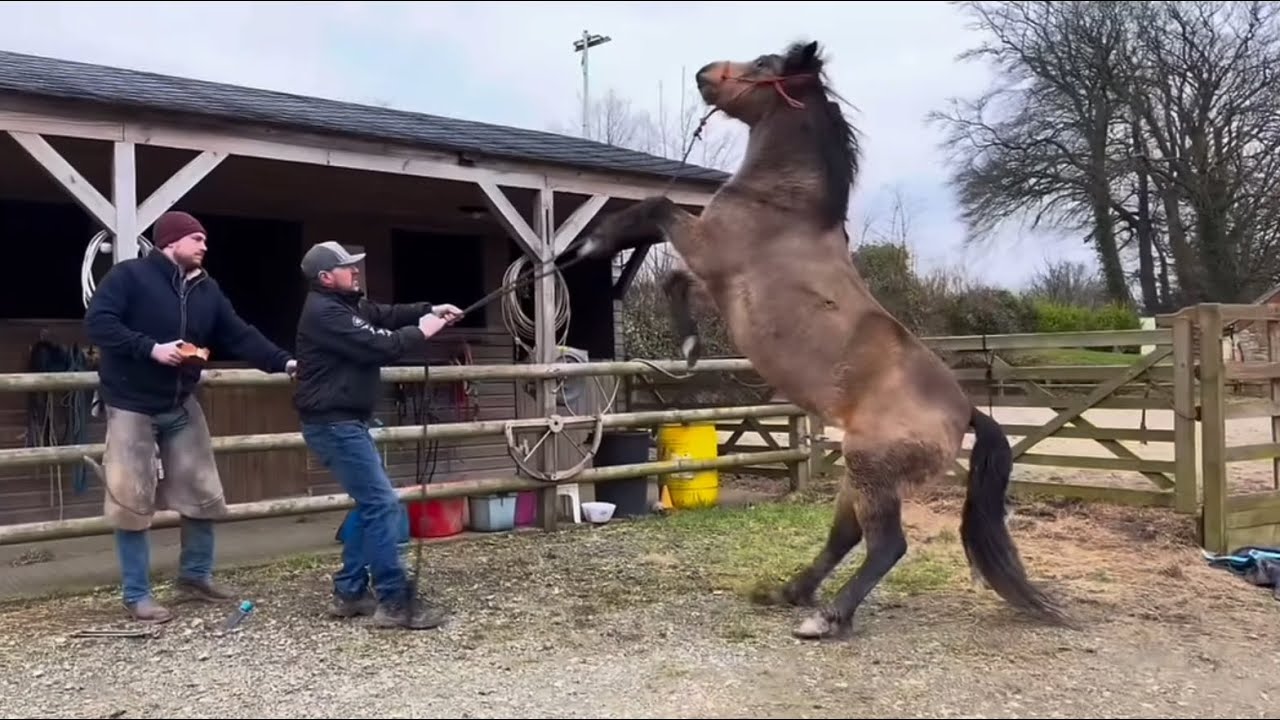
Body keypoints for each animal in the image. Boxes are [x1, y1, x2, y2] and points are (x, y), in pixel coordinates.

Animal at [576, 39, 1070, 640]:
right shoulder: (710, 275)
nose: (704, 73)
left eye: (763, 65)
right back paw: (791, 591)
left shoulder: (705, 246)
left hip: (869, 469)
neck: (781, 205)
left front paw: (592, 243)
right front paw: (690, 348)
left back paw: (826, 617)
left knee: (886, 546)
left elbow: (655, 208)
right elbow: (673, 279)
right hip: (859, 476)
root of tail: (967, 413)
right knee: (847, 536)